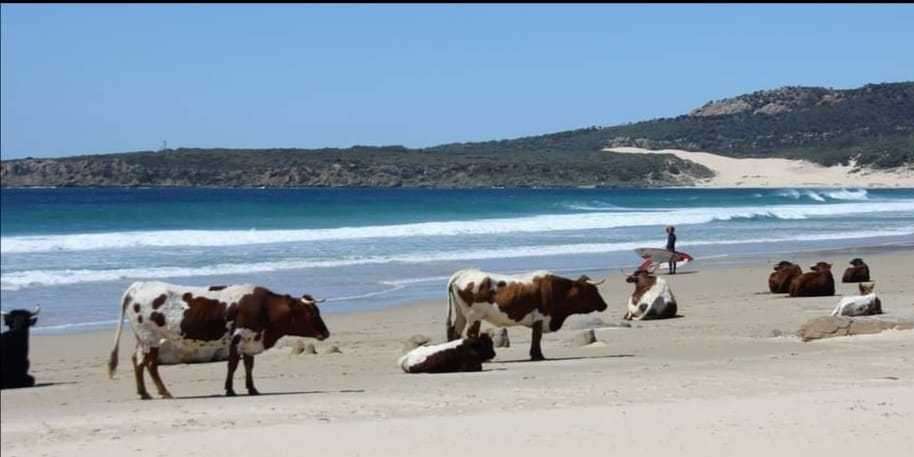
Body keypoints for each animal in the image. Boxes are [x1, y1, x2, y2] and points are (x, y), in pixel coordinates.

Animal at [106, 280, 330, 398]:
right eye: (310, 313)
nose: (326, 333)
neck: (265, 308)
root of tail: (138, 286)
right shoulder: (238, 338)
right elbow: (233, 365)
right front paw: (230, 389)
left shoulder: (249, 341)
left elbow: (248, 365)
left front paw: (252, 389)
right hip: (151, 338)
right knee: (150, 364)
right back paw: (164, 392)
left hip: (142, 339)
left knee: (138, 362)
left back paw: (144, 393)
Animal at [448, 268, 608, 360]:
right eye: (592, 291)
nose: (605, 305)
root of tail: (462, 273)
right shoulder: (540, 317)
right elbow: (537, 337)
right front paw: (538, 356)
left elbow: (535, 337)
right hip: (474, 315)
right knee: (471, 334)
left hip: (461, 315)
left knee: (455, 332)